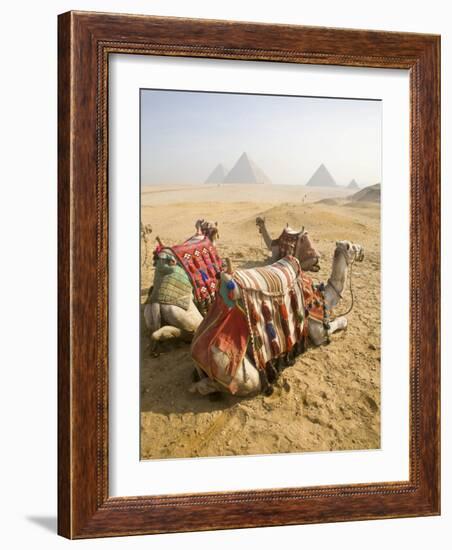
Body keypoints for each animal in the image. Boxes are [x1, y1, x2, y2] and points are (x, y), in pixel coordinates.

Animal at [190, 242, 364, 396]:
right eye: (352, 246)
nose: (362, 251)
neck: (322, 298)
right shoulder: (316, 330)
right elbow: (341, 322)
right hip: (234, 370)